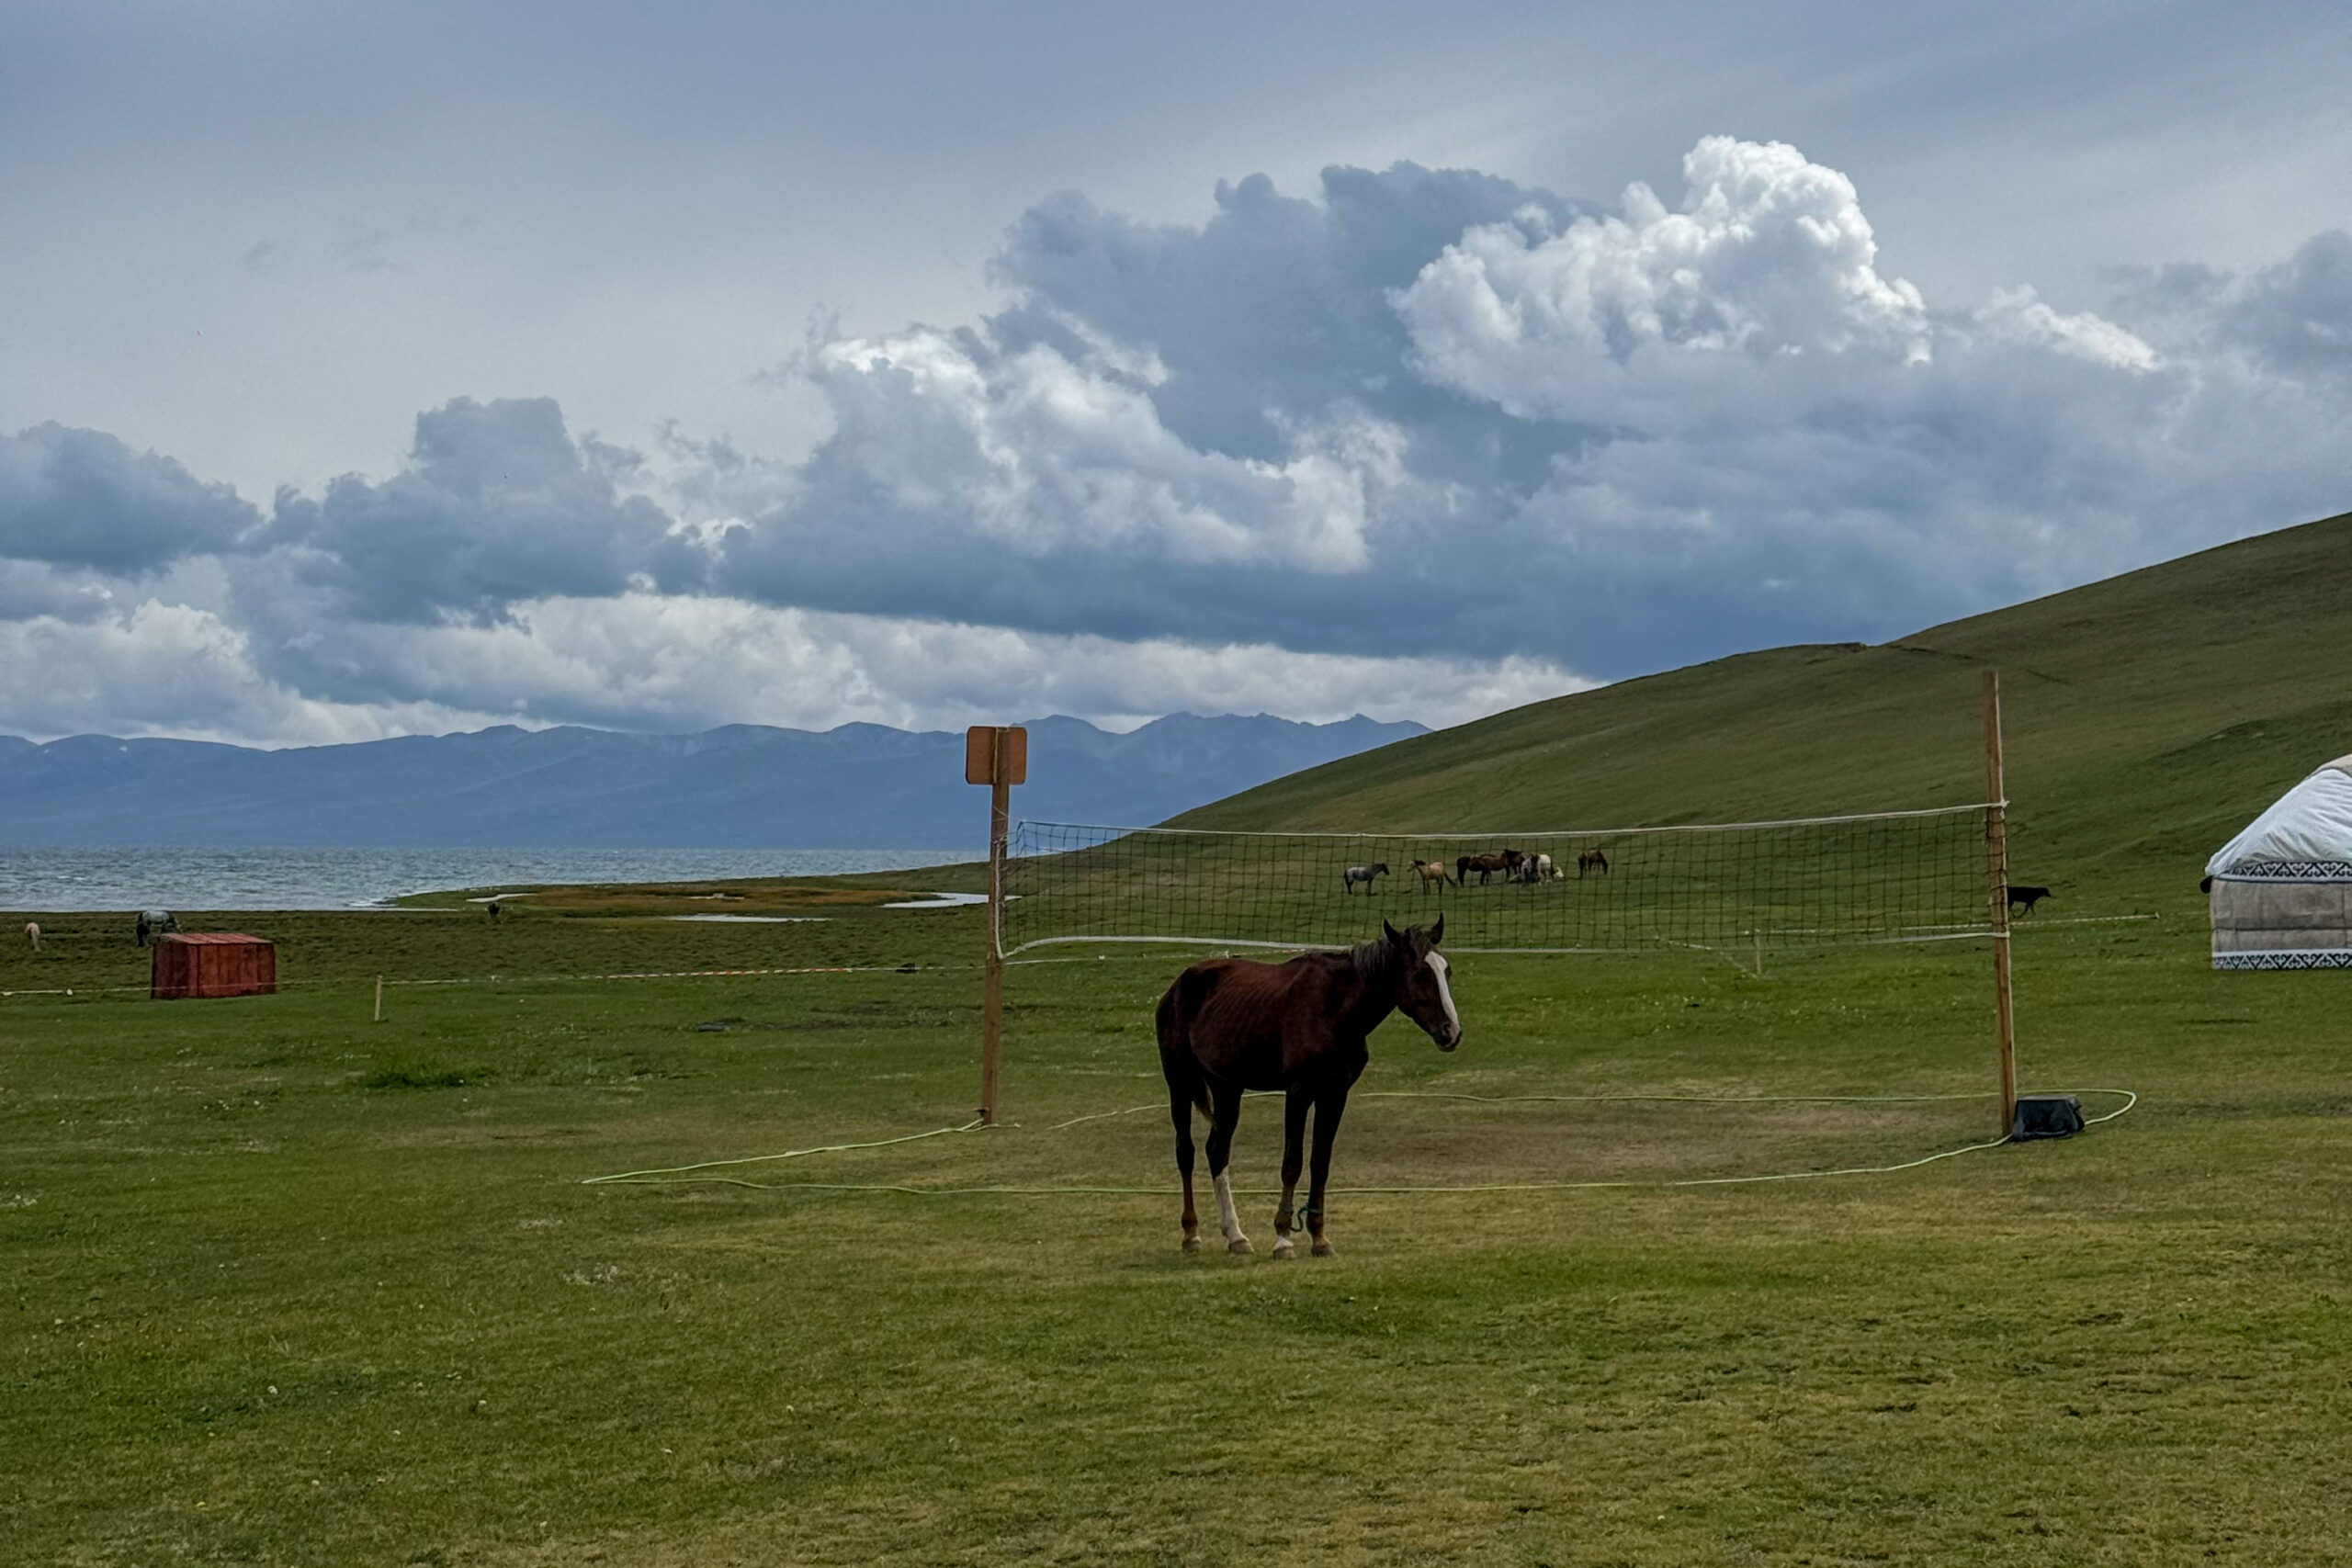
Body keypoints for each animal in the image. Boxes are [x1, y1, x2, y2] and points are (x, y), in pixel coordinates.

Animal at [1156, 918, 1460, 1258]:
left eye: (1446, 971)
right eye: (1420, 973)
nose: (1451, 1031)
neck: (1334, 1011)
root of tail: (1178, 986)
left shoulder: (1335, 1094)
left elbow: (1320, 1164)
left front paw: (1319, 1238)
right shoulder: (1299, 1093)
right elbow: (1292, 1163)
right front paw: (1283, 1239)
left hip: (1227, 1089)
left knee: (1217, 1152)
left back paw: (1236, 1236)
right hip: (1179, 1083)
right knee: (1186, 1153)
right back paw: (1191, 1234)